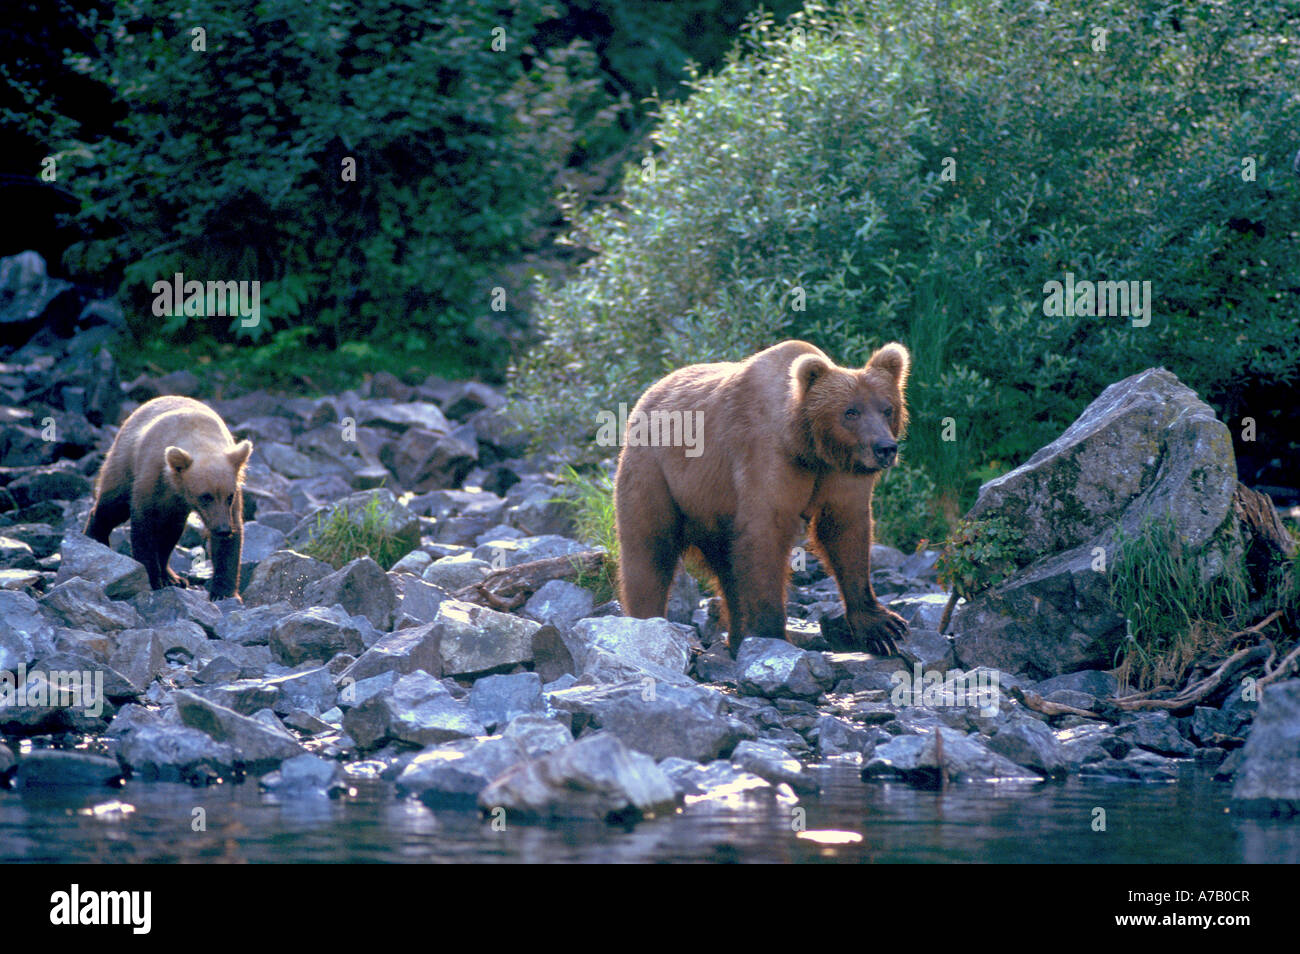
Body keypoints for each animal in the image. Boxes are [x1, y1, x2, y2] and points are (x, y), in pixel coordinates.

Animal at [85, 395, 253, 600]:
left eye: (229, 496)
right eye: (205, 496)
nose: (222, 529)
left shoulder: (230, 496)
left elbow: (229, 540)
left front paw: (224, 592)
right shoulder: (152, 477)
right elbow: (144, 527)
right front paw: (152, 579)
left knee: (171, 532)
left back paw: (173, 577)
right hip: (124, 459)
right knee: (113, 506)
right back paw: (95, 537)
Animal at [614, 339, 910, 657]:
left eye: (887, 408)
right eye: (851, 411)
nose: (885, 448)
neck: (807, 447)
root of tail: (648, 394)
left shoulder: (841, 474)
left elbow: (845, 532)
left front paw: (882, 626)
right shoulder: (766, 457)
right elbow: (765, 537)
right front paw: (773, 635)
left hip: (712, 510)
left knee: (726, 568)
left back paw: (736, 638)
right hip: (656, 475)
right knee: (649, 551)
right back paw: (647, 624)